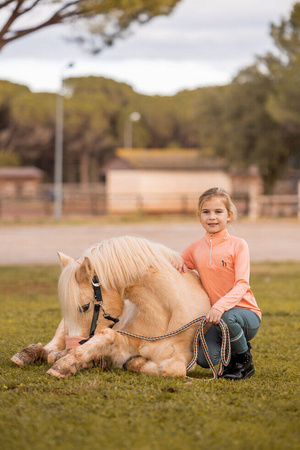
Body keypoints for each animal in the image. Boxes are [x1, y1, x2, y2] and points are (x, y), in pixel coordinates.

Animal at [11, 237, 211, 378]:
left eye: (85, 306)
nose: (71, 347)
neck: (164, 318)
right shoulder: (123, 343)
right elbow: (106, 337)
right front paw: (64, 364)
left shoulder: (184, 356)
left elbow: (173, 369)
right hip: (62, 330)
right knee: (50, 346)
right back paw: (28, 354)